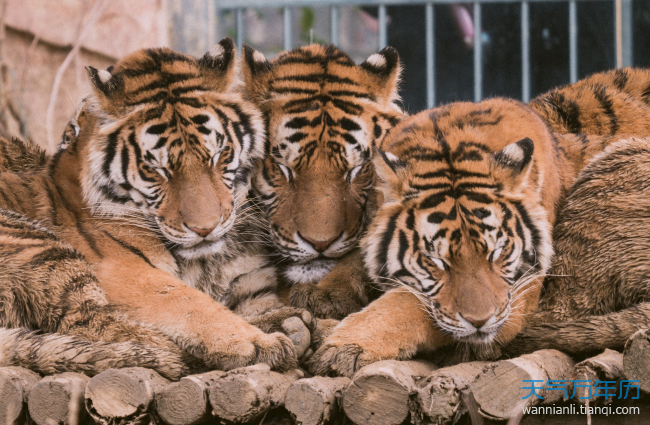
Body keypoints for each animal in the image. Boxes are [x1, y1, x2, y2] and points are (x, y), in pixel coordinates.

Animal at [0, 37, 302, 378]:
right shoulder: (120, 268)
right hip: (39, 246)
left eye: (217, 155)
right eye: (157, 169)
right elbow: (186, 300)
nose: (205, 229)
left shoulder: (253, 287)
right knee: (88, 324)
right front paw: (253, 342)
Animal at [306, 68, 648, 376]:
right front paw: (323, 295)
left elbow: (411, 303)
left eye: (498, 253)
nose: (481, 322)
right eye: (434, 260)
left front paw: (345, 347)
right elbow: (359, 260)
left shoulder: (520, 292)